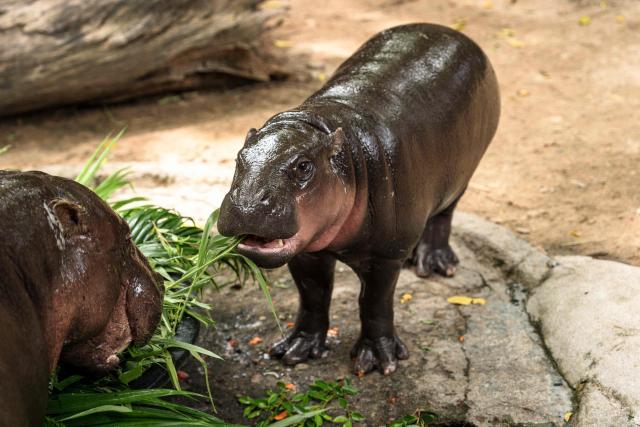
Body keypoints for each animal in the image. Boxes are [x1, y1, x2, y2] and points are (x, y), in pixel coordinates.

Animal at [218, 23, 500, 375]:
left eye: (303, 166)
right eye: (239, 157)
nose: (248, 203)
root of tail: (451, 31)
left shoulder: (385, 256)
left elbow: (374, 302)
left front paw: (378, 361)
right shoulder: (306, 251)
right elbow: (313, 295)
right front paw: (296, 349)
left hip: (461, 178)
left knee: (443, 216)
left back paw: (434, 264)